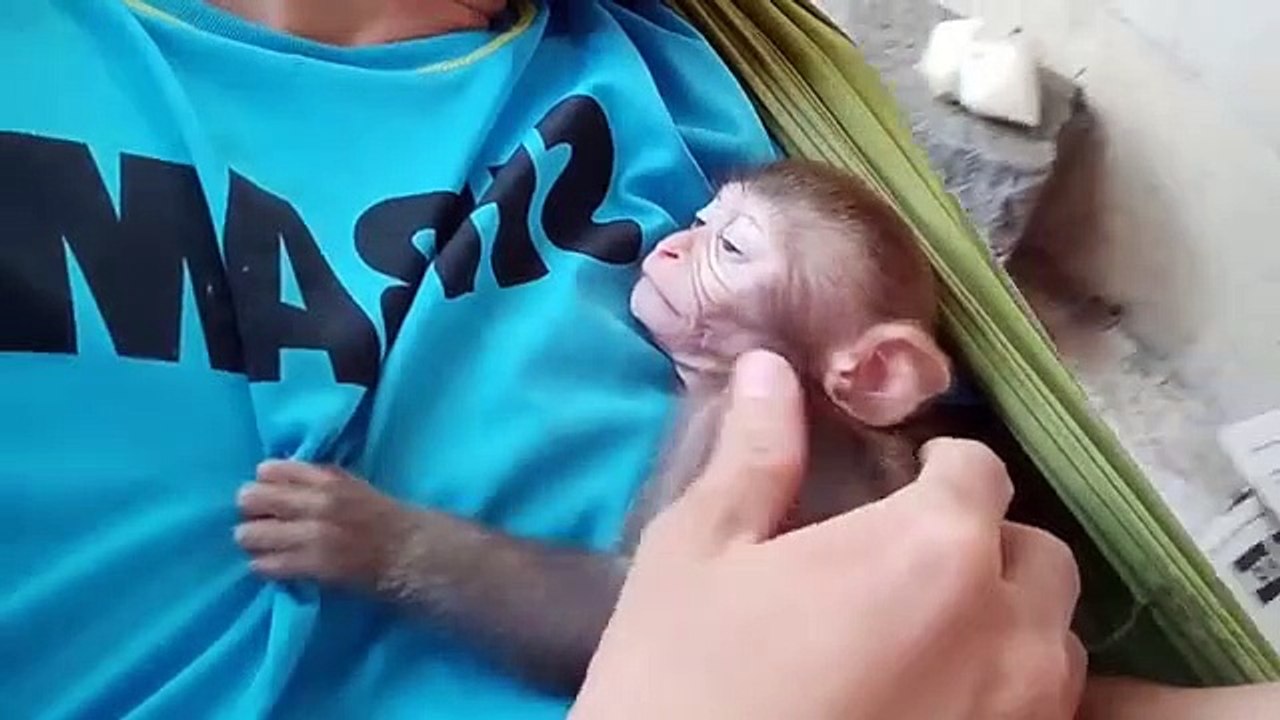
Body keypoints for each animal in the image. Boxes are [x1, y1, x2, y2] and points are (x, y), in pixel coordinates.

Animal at [233, 158, 953, 696]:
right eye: (703, 221)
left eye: (731, 247)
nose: (672, 246)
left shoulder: (717, 430)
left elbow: (612, 618)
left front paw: (364, 533)